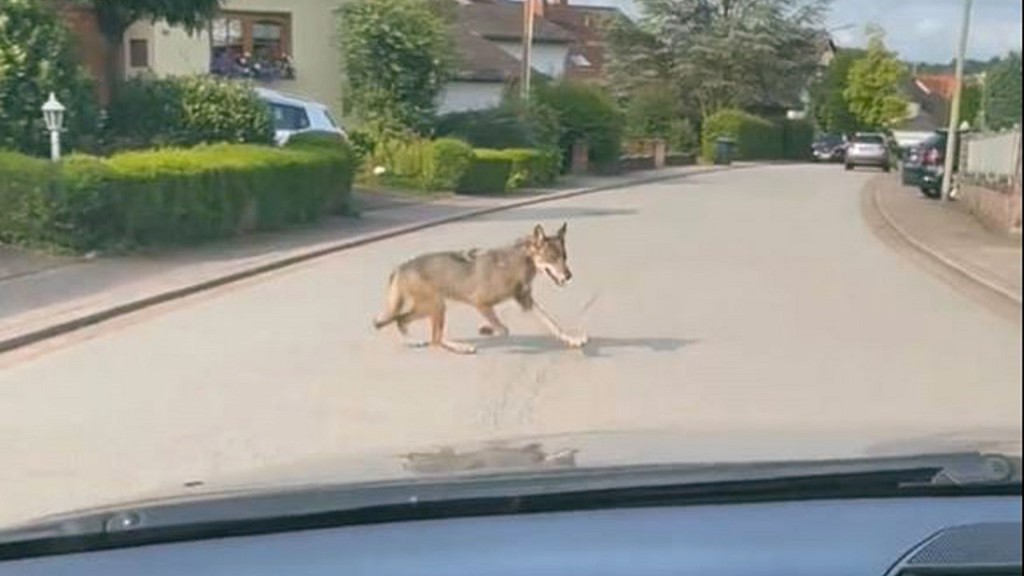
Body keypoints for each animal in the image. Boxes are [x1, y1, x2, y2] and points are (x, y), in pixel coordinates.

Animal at [372, 222, 589, 352]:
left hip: (430, 307)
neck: (518, 263)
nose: (569, 276)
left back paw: (413, 341)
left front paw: (573, 340)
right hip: (437, 306)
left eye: (565, 257)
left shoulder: (526, 301)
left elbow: (553, 324)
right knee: (434, 338)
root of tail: (401, 267)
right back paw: (462, 347)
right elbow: (503, 329)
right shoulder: (480, 303)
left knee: (402, 320)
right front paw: (489, 329)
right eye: (551, 258)